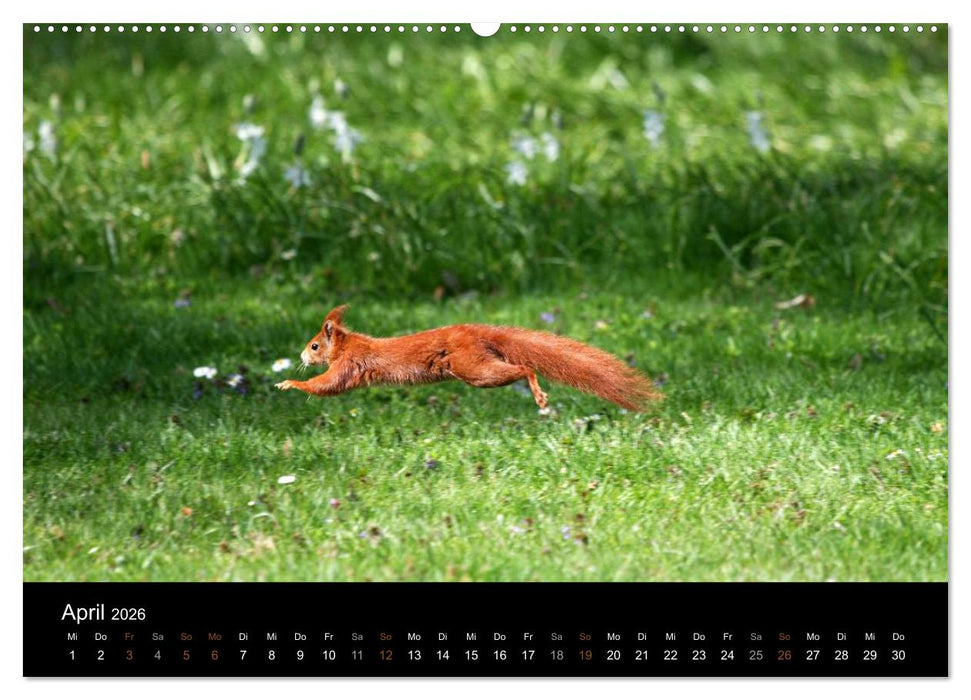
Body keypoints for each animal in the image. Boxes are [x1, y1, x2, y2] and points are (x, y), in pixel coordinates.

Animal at [275, 305, 663, 411]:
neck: (347, 344)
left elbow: (328, 384)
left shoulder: (349, 365)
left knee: (525, 367)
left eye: (314, 346)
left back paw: (538, 393)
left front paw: (290, 382)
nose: (301, 354)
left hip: (473, 369)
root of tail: (475, 332)